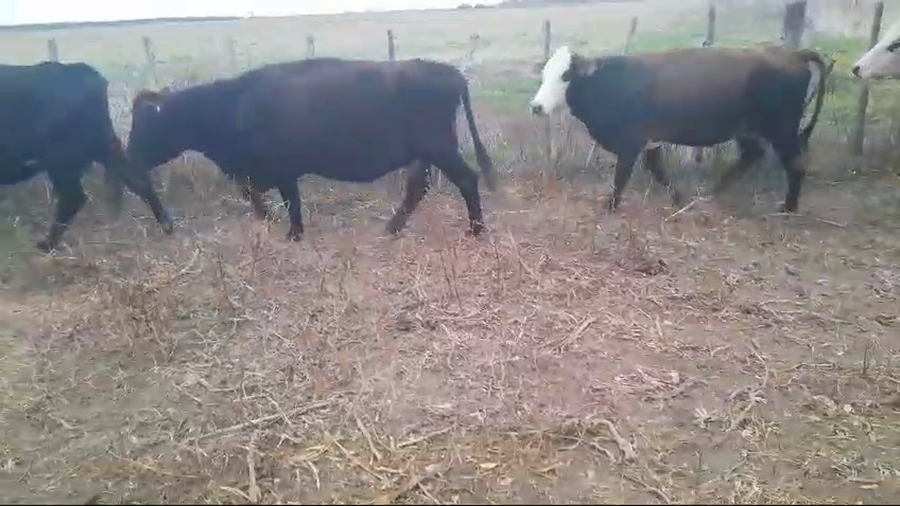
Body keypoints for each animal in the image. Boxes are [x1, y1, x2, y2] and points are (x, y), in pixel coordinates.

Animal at [0, 61, 174, 252]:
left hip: (61, 161)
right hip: (103, 148)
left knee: (74, 197)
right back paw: (167, 225)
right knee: (137, 179)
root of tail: (84, 72)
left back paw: (47, 244)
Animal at [125, 56, 497, 241]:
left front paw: (292, 232)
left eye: (144, 126)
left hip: (440, 147)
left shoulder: (280, 167)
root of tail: (448, 71)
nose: (129, 160)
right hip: (424, 154)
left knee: (467, 179)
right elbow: (264, 196)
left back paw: (476, 230)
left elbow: (289, 199)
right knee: (417, 188)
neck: (233, 105)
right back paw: (392, 228)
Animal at [529, 45, 829, 214]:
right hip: (748, 129)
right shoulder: (650, 141)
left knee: (795, 163)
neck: (607, 83)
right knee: (752, 154)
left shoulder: (630, 141)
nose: (537, 106)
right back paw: (716, 191)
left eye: (566, 75)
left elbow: (622, 176)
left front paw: (612, 205)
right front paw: (678, 198)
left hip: (782, 129)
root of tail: (792, 54)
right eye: (544, 75)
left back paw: (789, 207)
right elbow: (658, 170)